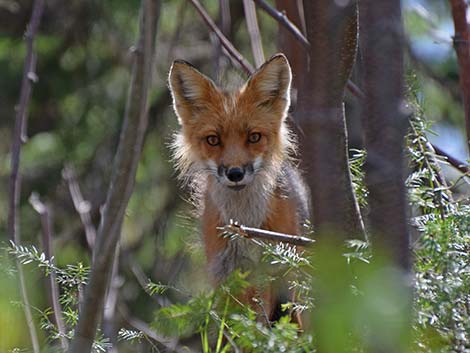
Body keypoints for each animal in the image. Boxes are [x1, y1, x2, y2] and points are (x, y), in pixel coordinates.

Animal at [168, 53, 308, 320]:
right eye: (213, 140)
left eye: (254, 137)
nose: (235, 173)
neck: (246, 222)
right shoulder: (228, 272)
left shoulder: (279, 267)